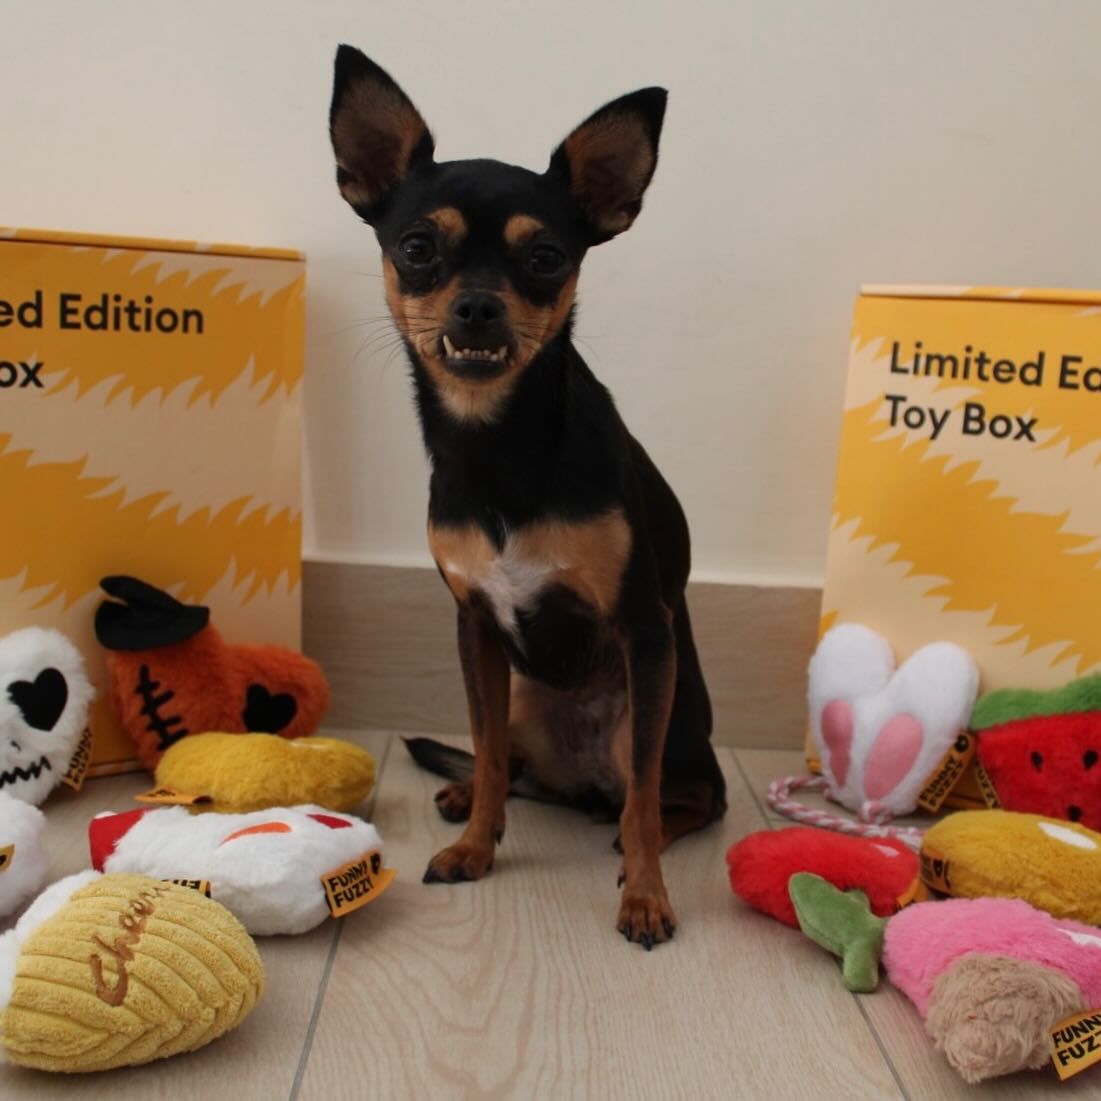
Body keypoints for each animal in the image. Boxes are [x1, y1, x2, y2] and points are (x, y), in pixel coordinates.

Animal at [329, 45, 726, 948]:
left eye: (545, 257)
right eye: (416, 246)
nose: (477, 302)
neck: (497, 444)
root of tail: (575, 780)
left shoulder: (645, 631)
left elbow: (645, 803)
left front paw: (644, 896)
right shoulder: (475, 626)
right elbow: (479, 748)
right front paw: (475, 846)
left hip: (663, 717)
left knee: (669, 796)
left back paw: (631, 834)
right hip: (525, 703)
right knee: (505, 762)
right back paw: (464, 792)